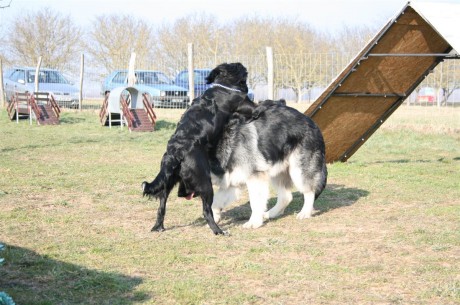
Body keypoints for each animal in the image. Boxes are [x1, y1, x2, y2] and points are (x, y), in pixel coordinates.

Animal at [142, 62, 253, 235]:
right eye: (238, 67)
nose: (243, 66)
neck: (224, 86)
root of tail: (176, 152)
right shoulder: (245, 104)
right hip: (205, 183)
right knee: (206, 211)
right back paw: (218, 231)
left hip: (168, 182)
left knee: (162, 206)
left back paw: (158, 226)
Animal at [210, 100, 328, 228]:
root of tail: (310, 121)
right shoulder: (234, 181)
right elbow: (216, 201)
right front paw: (214, 217)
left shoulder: (255, 177)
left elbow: (255, 202)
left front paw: (254, 222)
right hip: (278, 170)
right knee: (286, 197)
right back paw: (272, 213)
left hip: (298, 171)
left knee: (309, 191)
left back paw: (305, 212)